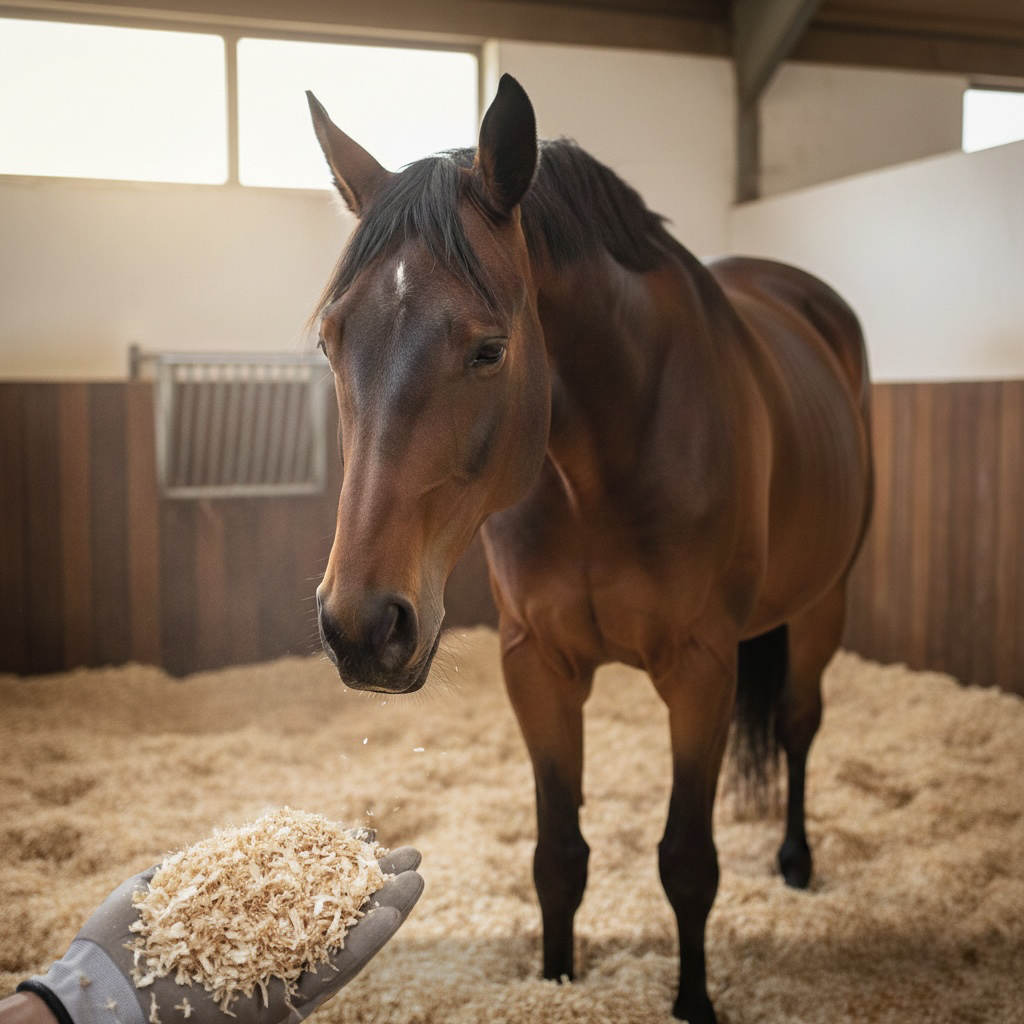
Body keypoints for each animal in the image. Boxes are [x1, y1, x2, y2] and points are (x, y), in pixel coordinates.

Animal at [307, 75, 873, 1023]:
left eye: (489, 349)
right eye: (330, 341)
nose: (361, 626)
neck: (599, 463)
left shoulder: (701, 668)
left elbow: (688, 862)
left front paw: (694, 1002)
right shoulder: (538, 664)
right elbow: (558, 858)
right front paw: (557, 979)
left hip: (824, 599)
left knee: (799, 725)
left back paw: (795, 861)